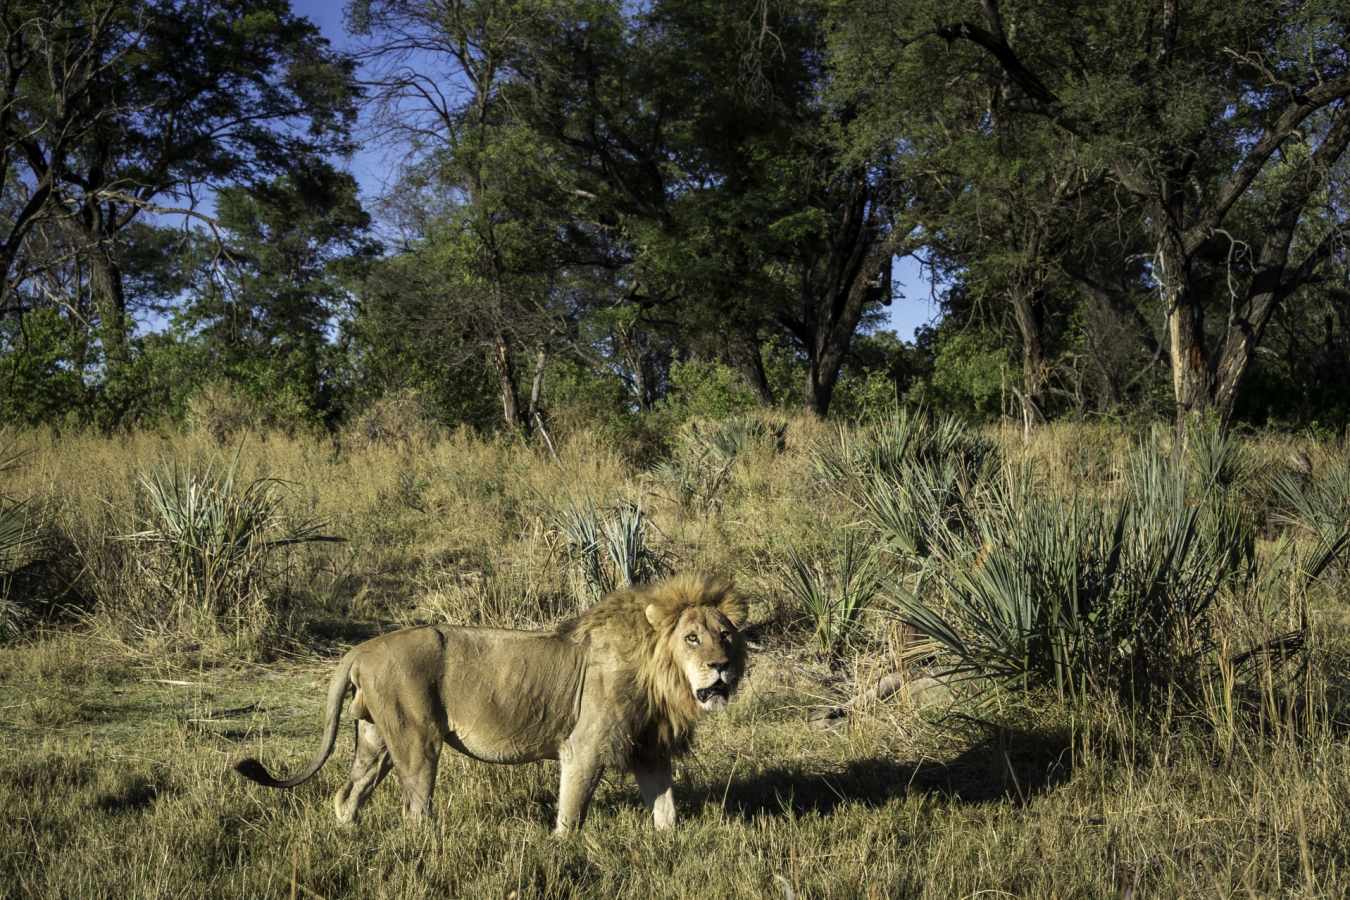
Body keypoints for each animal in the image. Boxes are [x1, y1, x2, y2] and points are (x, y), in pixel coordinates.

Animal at [233, 573, 747, 831]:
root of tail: (360, 649)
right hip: (417, 739)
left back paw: (349, 836)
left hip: (376, 738)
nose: (722, 666)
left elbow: (666, 808)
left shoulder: (650, 748)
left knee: (347, 795)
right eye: (692, 638)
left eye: (725, 634)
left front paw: (668, 845)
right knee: (414, 809)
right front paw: (560, 848)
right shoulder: (584, 747)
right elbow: (572, 811)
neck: (662, 679)